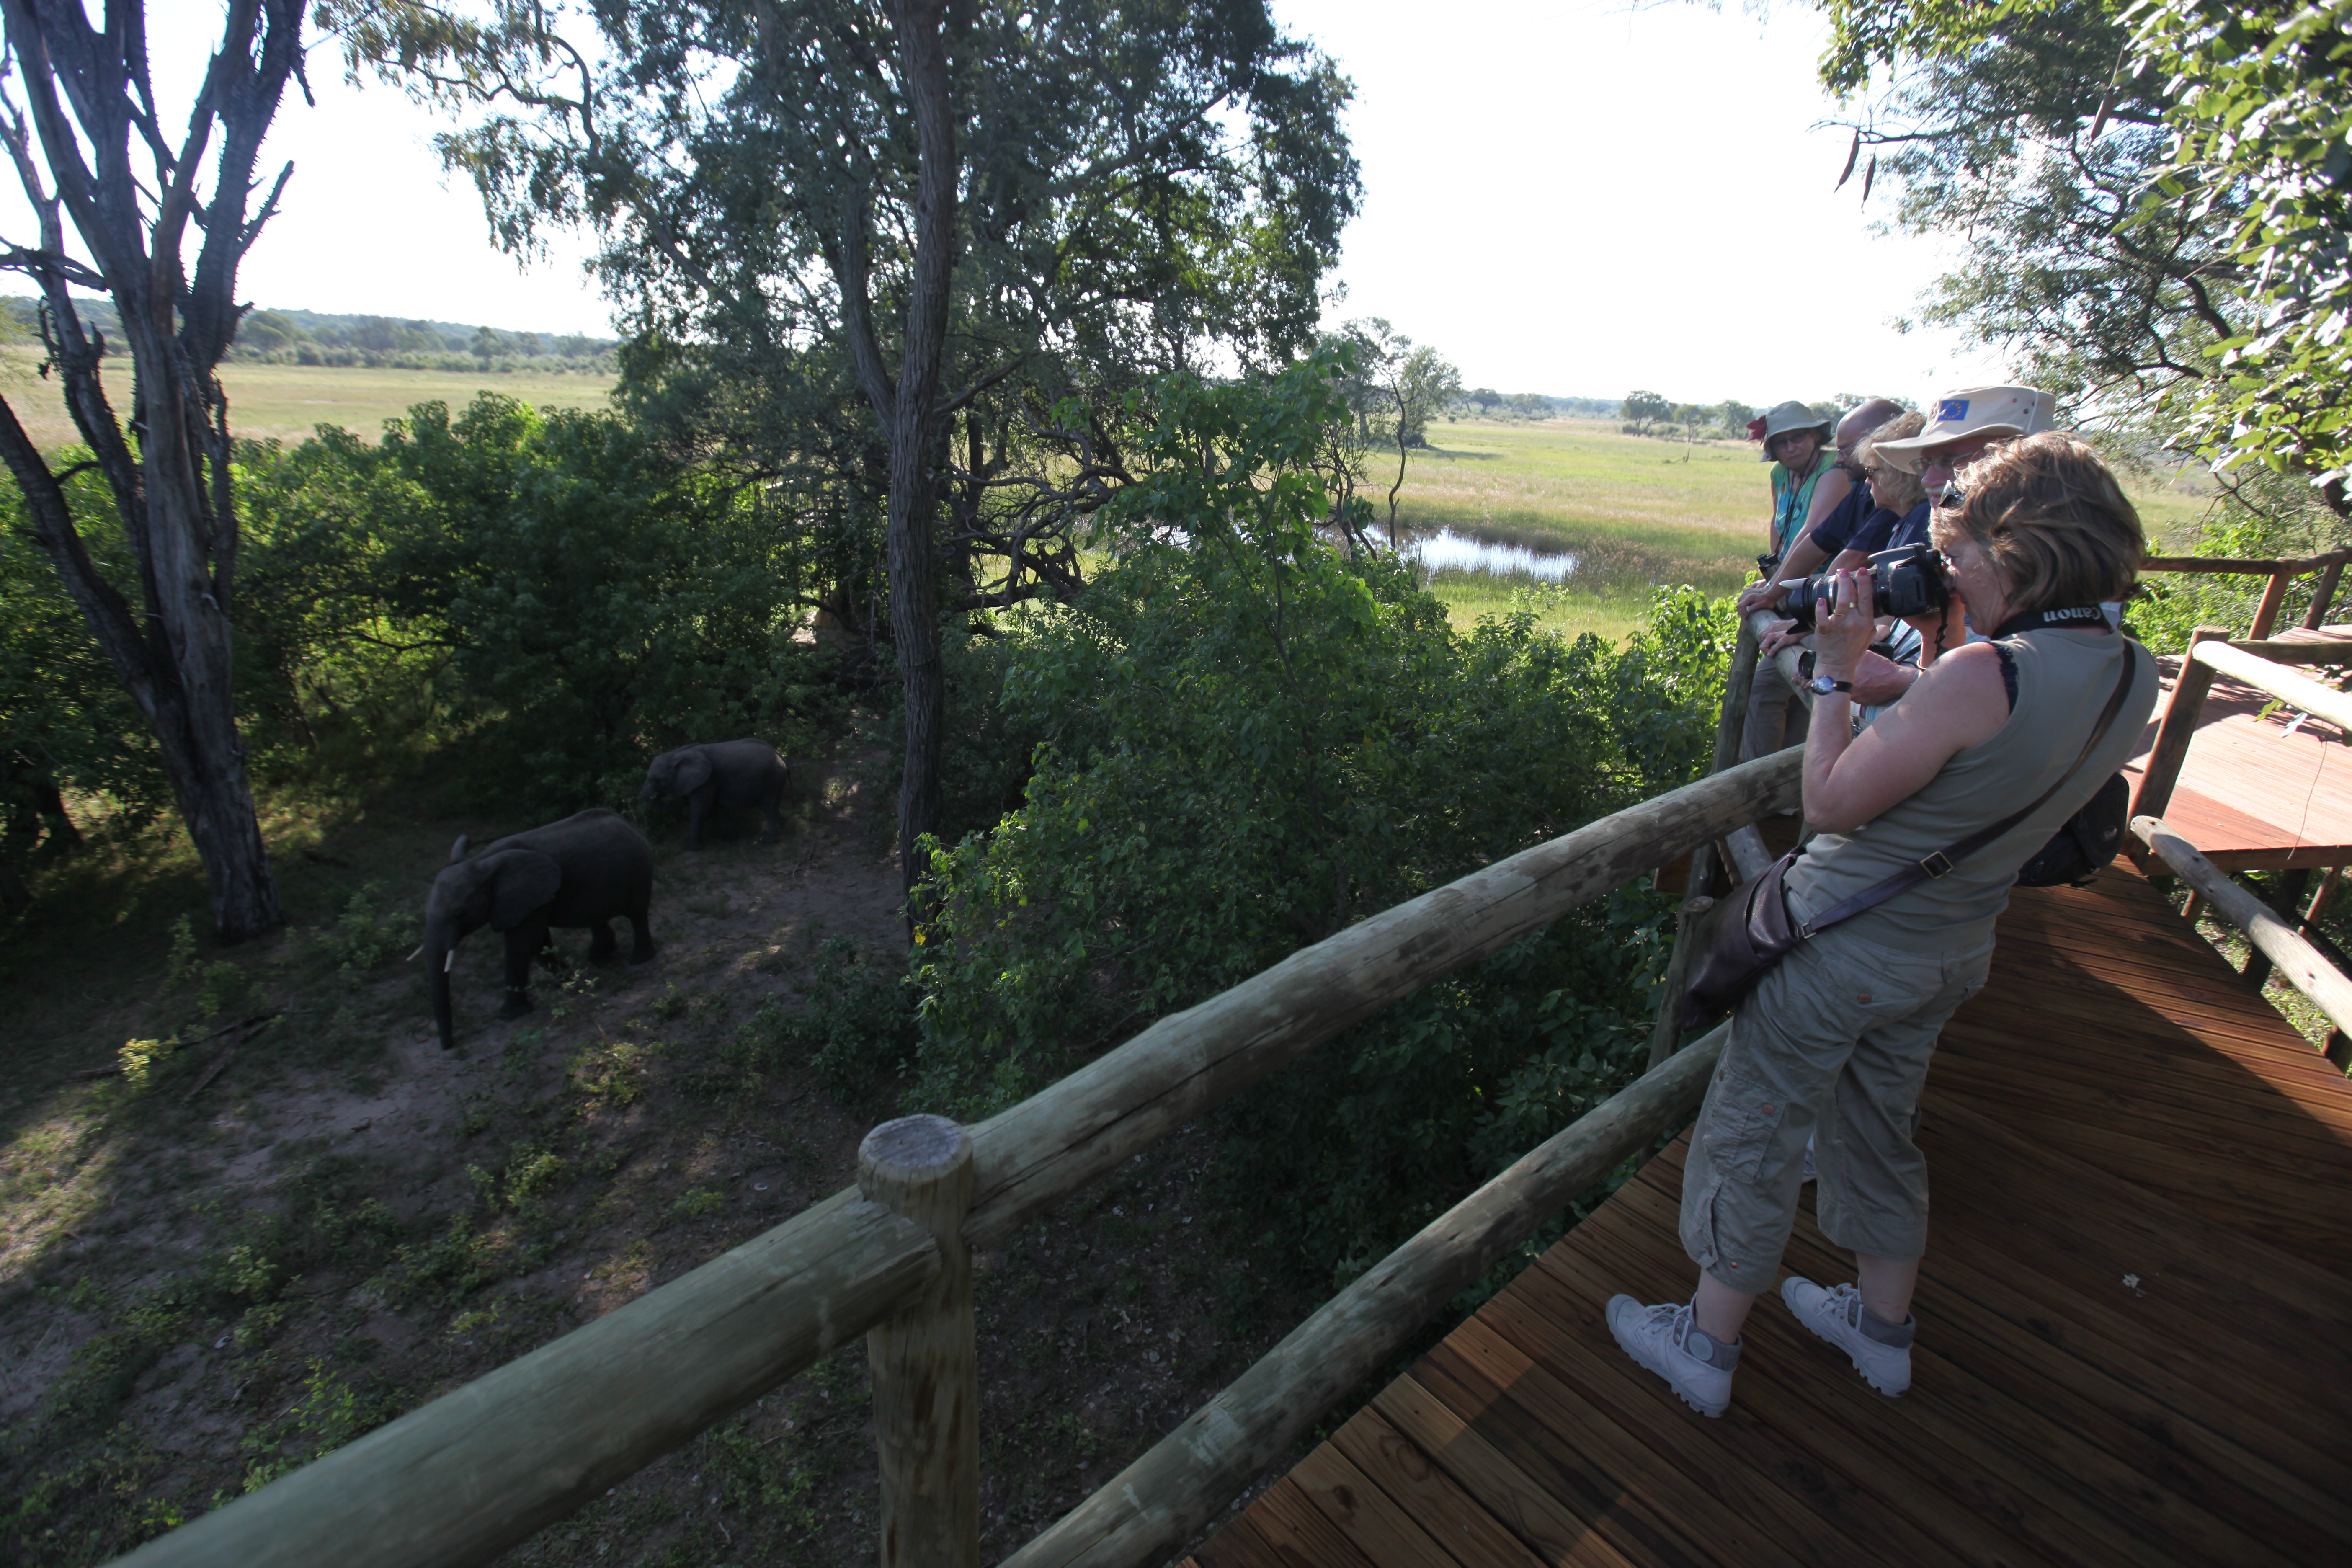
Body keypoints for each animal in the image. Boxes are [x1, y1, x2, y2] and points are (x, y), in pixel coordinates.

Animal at [421, 808, 654, 1053]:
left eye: (460, 913)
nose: (448, 1046)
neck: (479, 862)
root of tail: (627, 822)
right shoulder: (534, 899)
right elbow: (539, 942)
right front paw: (568, 982)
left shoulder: (529, 895)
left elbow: (523, 943)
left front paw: (509, 1016)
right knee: (596, 917)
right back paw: (598, 959)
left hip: (638, 869)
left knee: (637, 915)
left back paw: (638, 960)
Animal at [644, 743, 790, 851]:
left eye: (657, 780)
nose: (684, 798)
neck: (676, 754)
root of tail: (781, 755)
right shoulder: (712, 782)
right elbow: (716, 809)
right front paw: (731, 839)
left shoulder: (707, 781)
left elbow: (701, 810)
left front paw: (691, 848)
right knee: (770, 806)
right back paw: (783, 826)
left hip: (771, 778)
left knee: (768, 806)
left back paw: (768, 841)